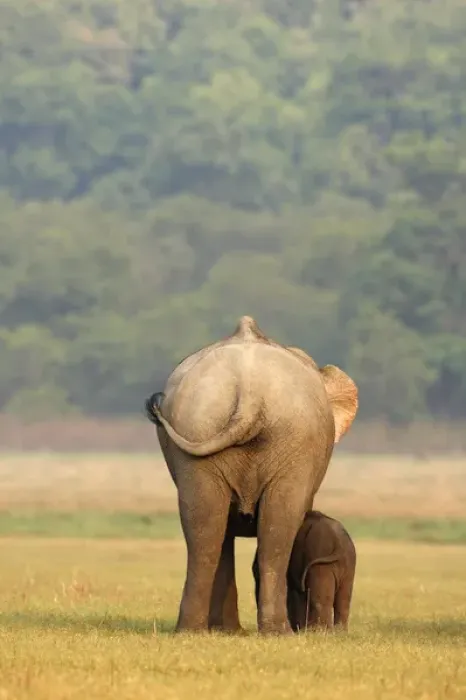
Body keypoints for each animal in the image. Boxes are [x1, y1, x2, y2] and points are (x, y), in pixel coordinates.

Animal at [145, 315, 358, 635]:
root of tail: (249, 391)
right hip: (288, 442)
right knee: (273, 530)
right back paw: (276, 633)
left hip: (204, 430)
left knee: (206, 528)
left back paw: (196, 630)